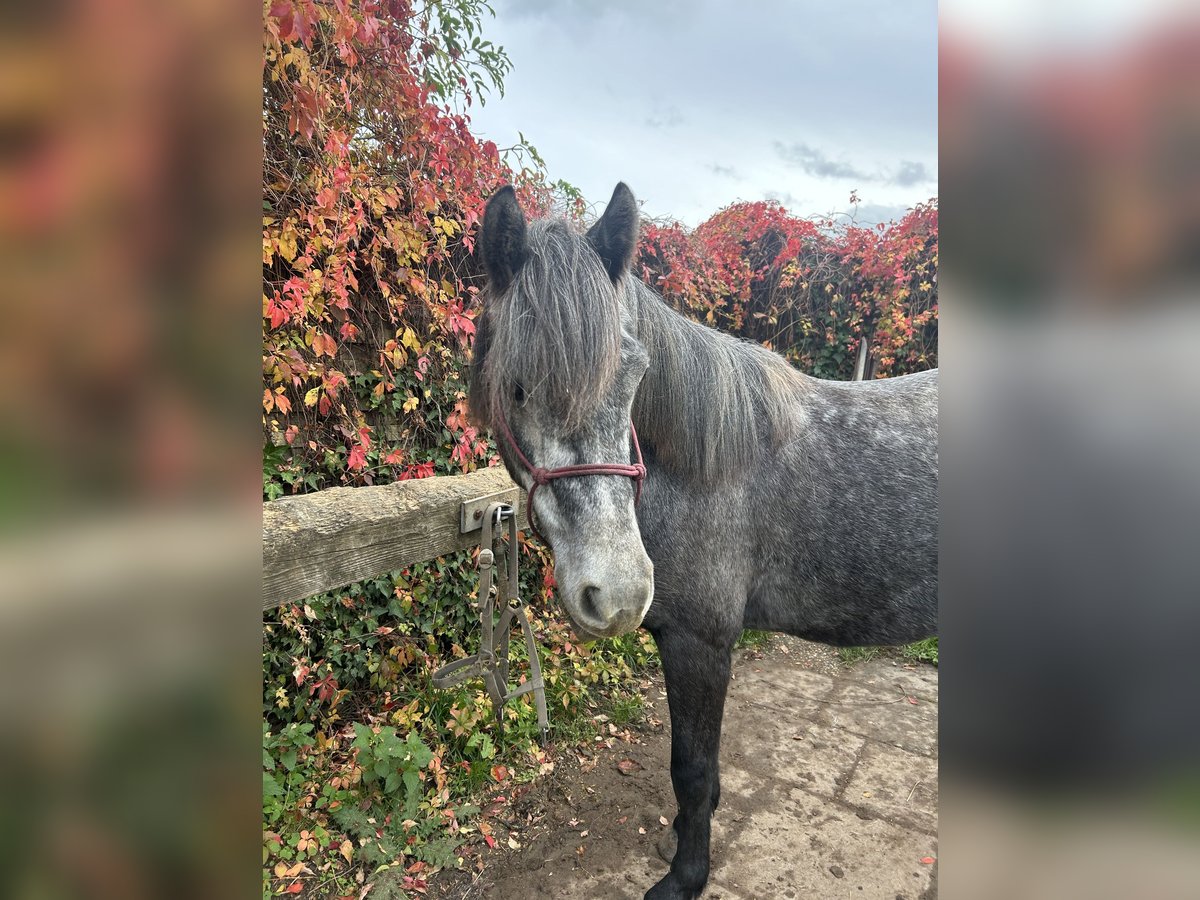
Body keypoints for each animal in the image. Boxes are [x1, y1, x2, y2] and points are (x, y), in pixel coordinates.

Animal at [468, 184, 936, 900]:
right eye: (517, 386)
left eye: (634, 377)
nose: (620, 591)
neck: (698, 471)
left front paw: (685, 877)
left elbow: (691, 770)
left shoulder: (702, 644)